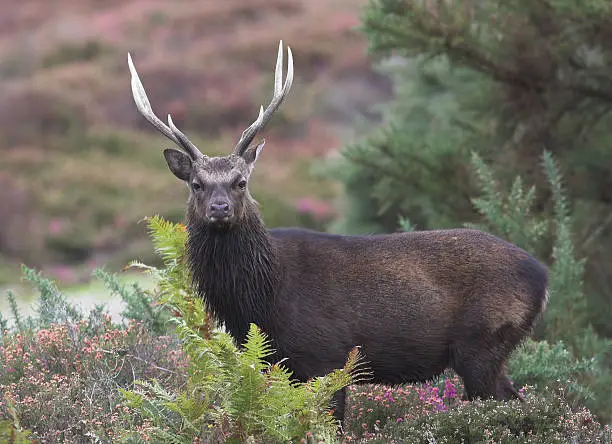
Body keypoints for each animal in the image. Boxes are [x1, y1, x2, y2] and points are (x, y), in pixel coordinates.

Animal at [128, 40, 548, 424]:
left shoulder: (327, 357)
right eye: (196, 184)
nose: (220, 208)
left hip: (483, 341)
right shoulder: (283, 365)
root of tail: (542, 276)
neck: (263, 298)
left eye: (241, 182)